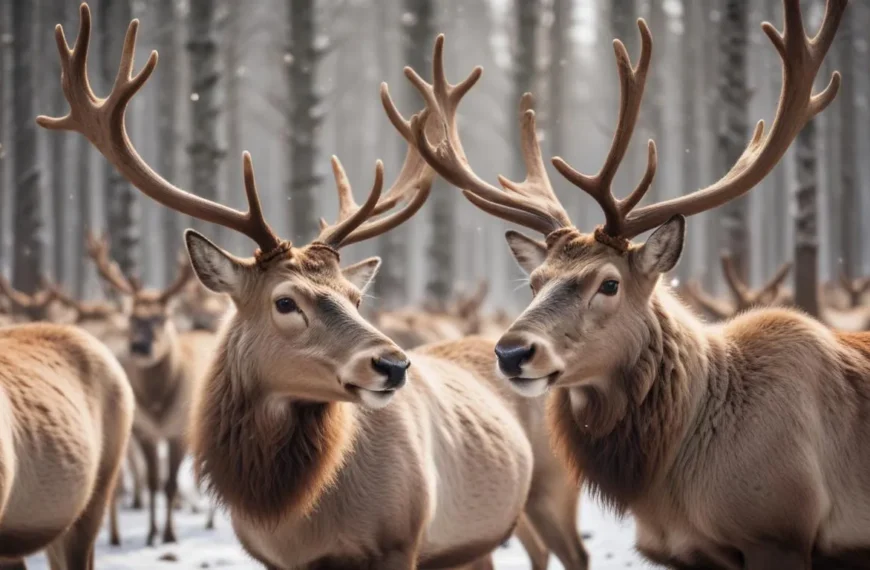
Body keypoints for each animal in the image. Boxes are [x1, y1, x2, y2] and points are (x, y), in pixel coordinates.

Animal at [80, 230, 217, 546]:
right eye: (132, 318)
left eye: (161, 318)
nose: (139, 346)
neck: (158, 405)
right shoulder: (144, 431)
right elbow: (154, 482)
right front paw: (152, 532)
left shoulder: (178, 430)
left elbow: (169, 484)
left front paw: (170, 534)